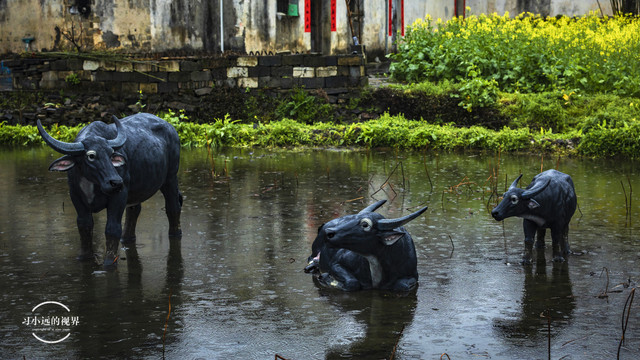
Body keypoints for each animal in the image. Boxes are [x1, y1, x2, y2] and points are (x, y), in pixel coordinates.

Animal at [37, 113, 182, 268]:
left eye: (111, 154)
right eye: (91, 155)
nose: (116, 182)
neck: (92, 184)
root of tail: (170, 128)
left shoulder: (119, 196)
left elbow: (112, 228)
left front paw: (109, 262)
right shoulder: (75, 196)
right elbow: (84, 225)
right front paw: (84, 257)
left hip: (170, 178)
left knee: (173, 206)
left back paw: (175, 233)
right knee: (134, 210)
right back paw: (127, 238)